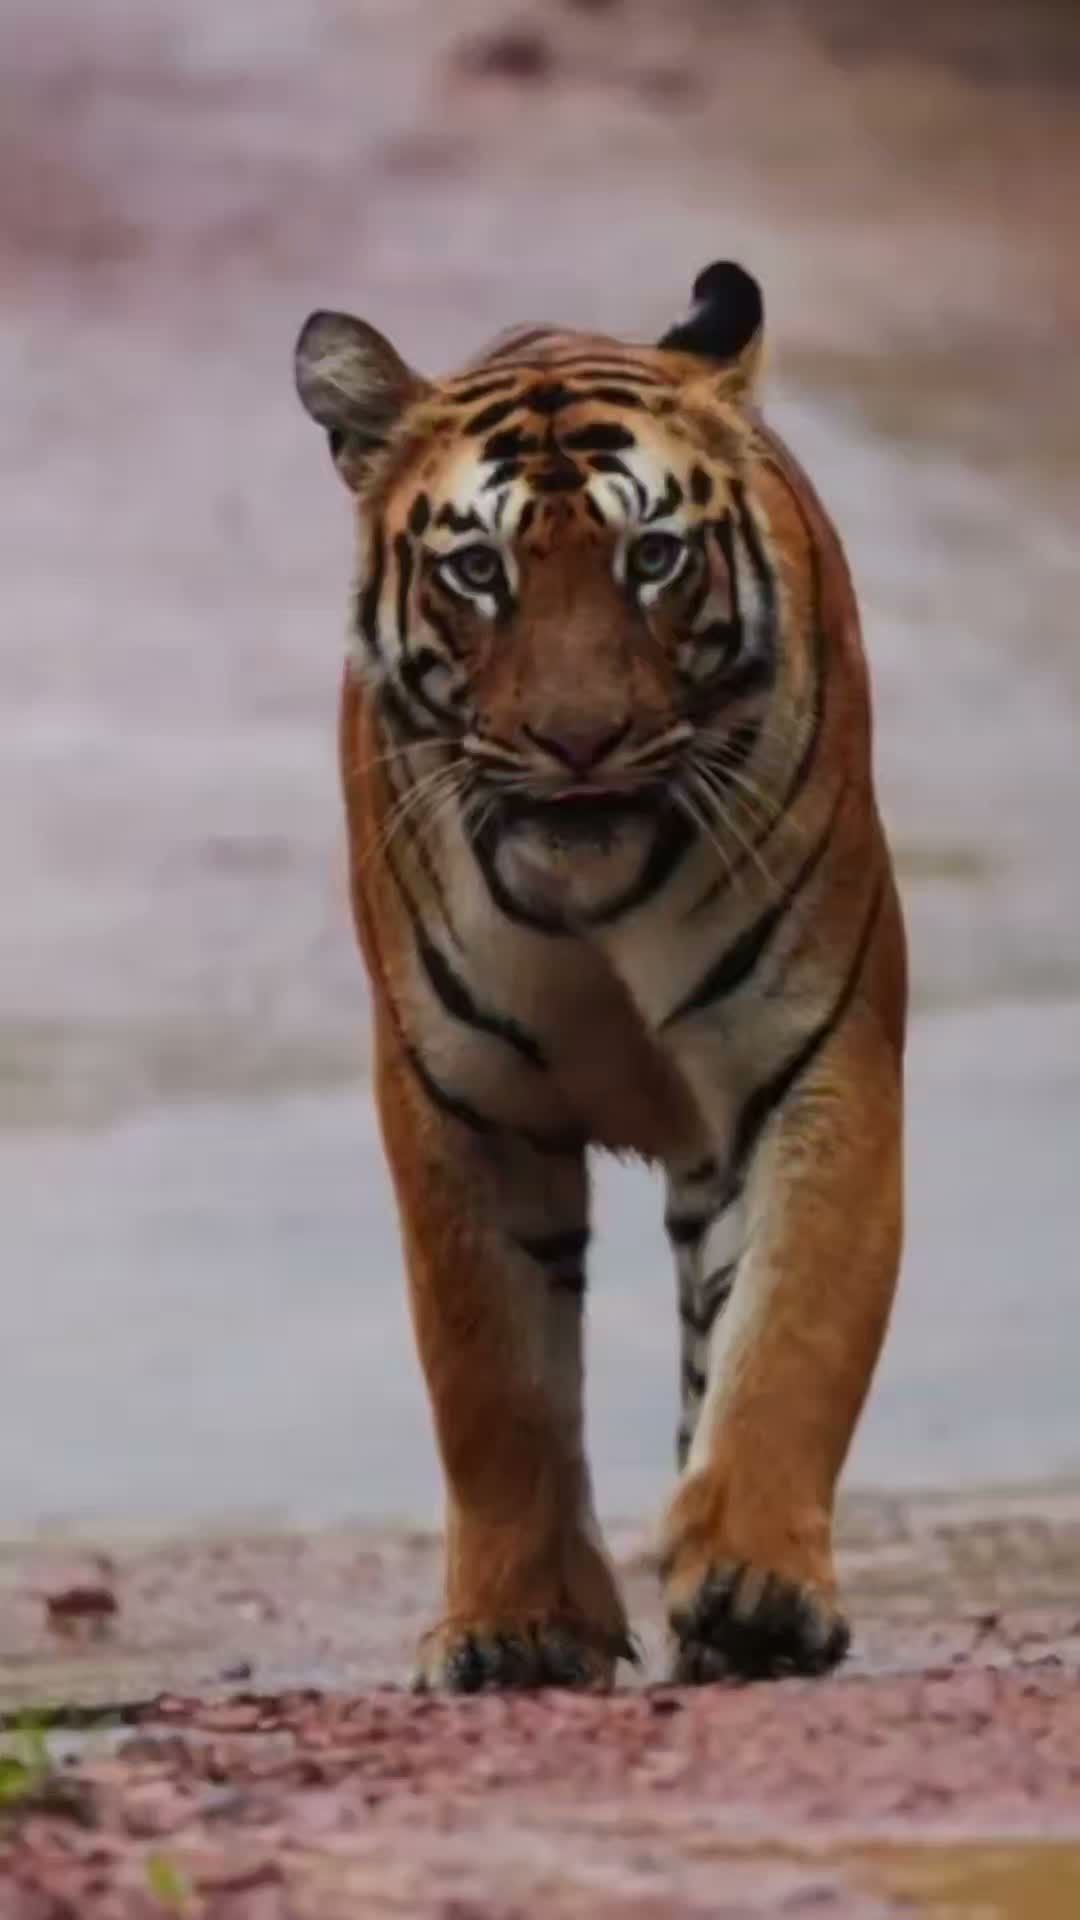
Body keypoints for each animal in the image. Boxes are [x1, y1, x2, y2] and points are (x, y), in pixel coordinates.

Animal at [294, 261, 906, 1691]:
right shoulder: (460, 1100)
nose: (580, 742)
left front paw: (755, 1591)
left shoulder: (814, 1057)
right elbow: (493, 1379)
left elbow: (792, 1332)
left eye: (653, 557)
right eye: (479, 570)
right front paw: (516, 1627)